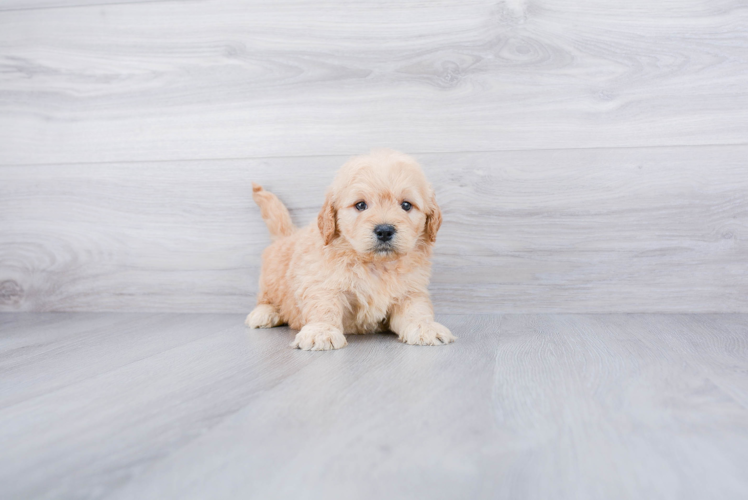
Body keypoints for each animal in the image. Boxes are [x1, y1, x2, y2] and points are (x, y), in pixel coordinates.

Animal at [245, 149, 456, 352]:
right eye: (360, 205)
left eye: (406, 205)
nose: (384, 230)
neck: (376, 264)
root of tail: (288, 235)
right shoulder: (323, 282)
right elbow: (324, 306)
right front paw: (321, 331)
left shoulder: (411, 290)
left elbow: (417, 309)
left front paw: (425, 327)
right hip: (270, 280)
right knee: (266, 298)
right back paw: (264, 313)